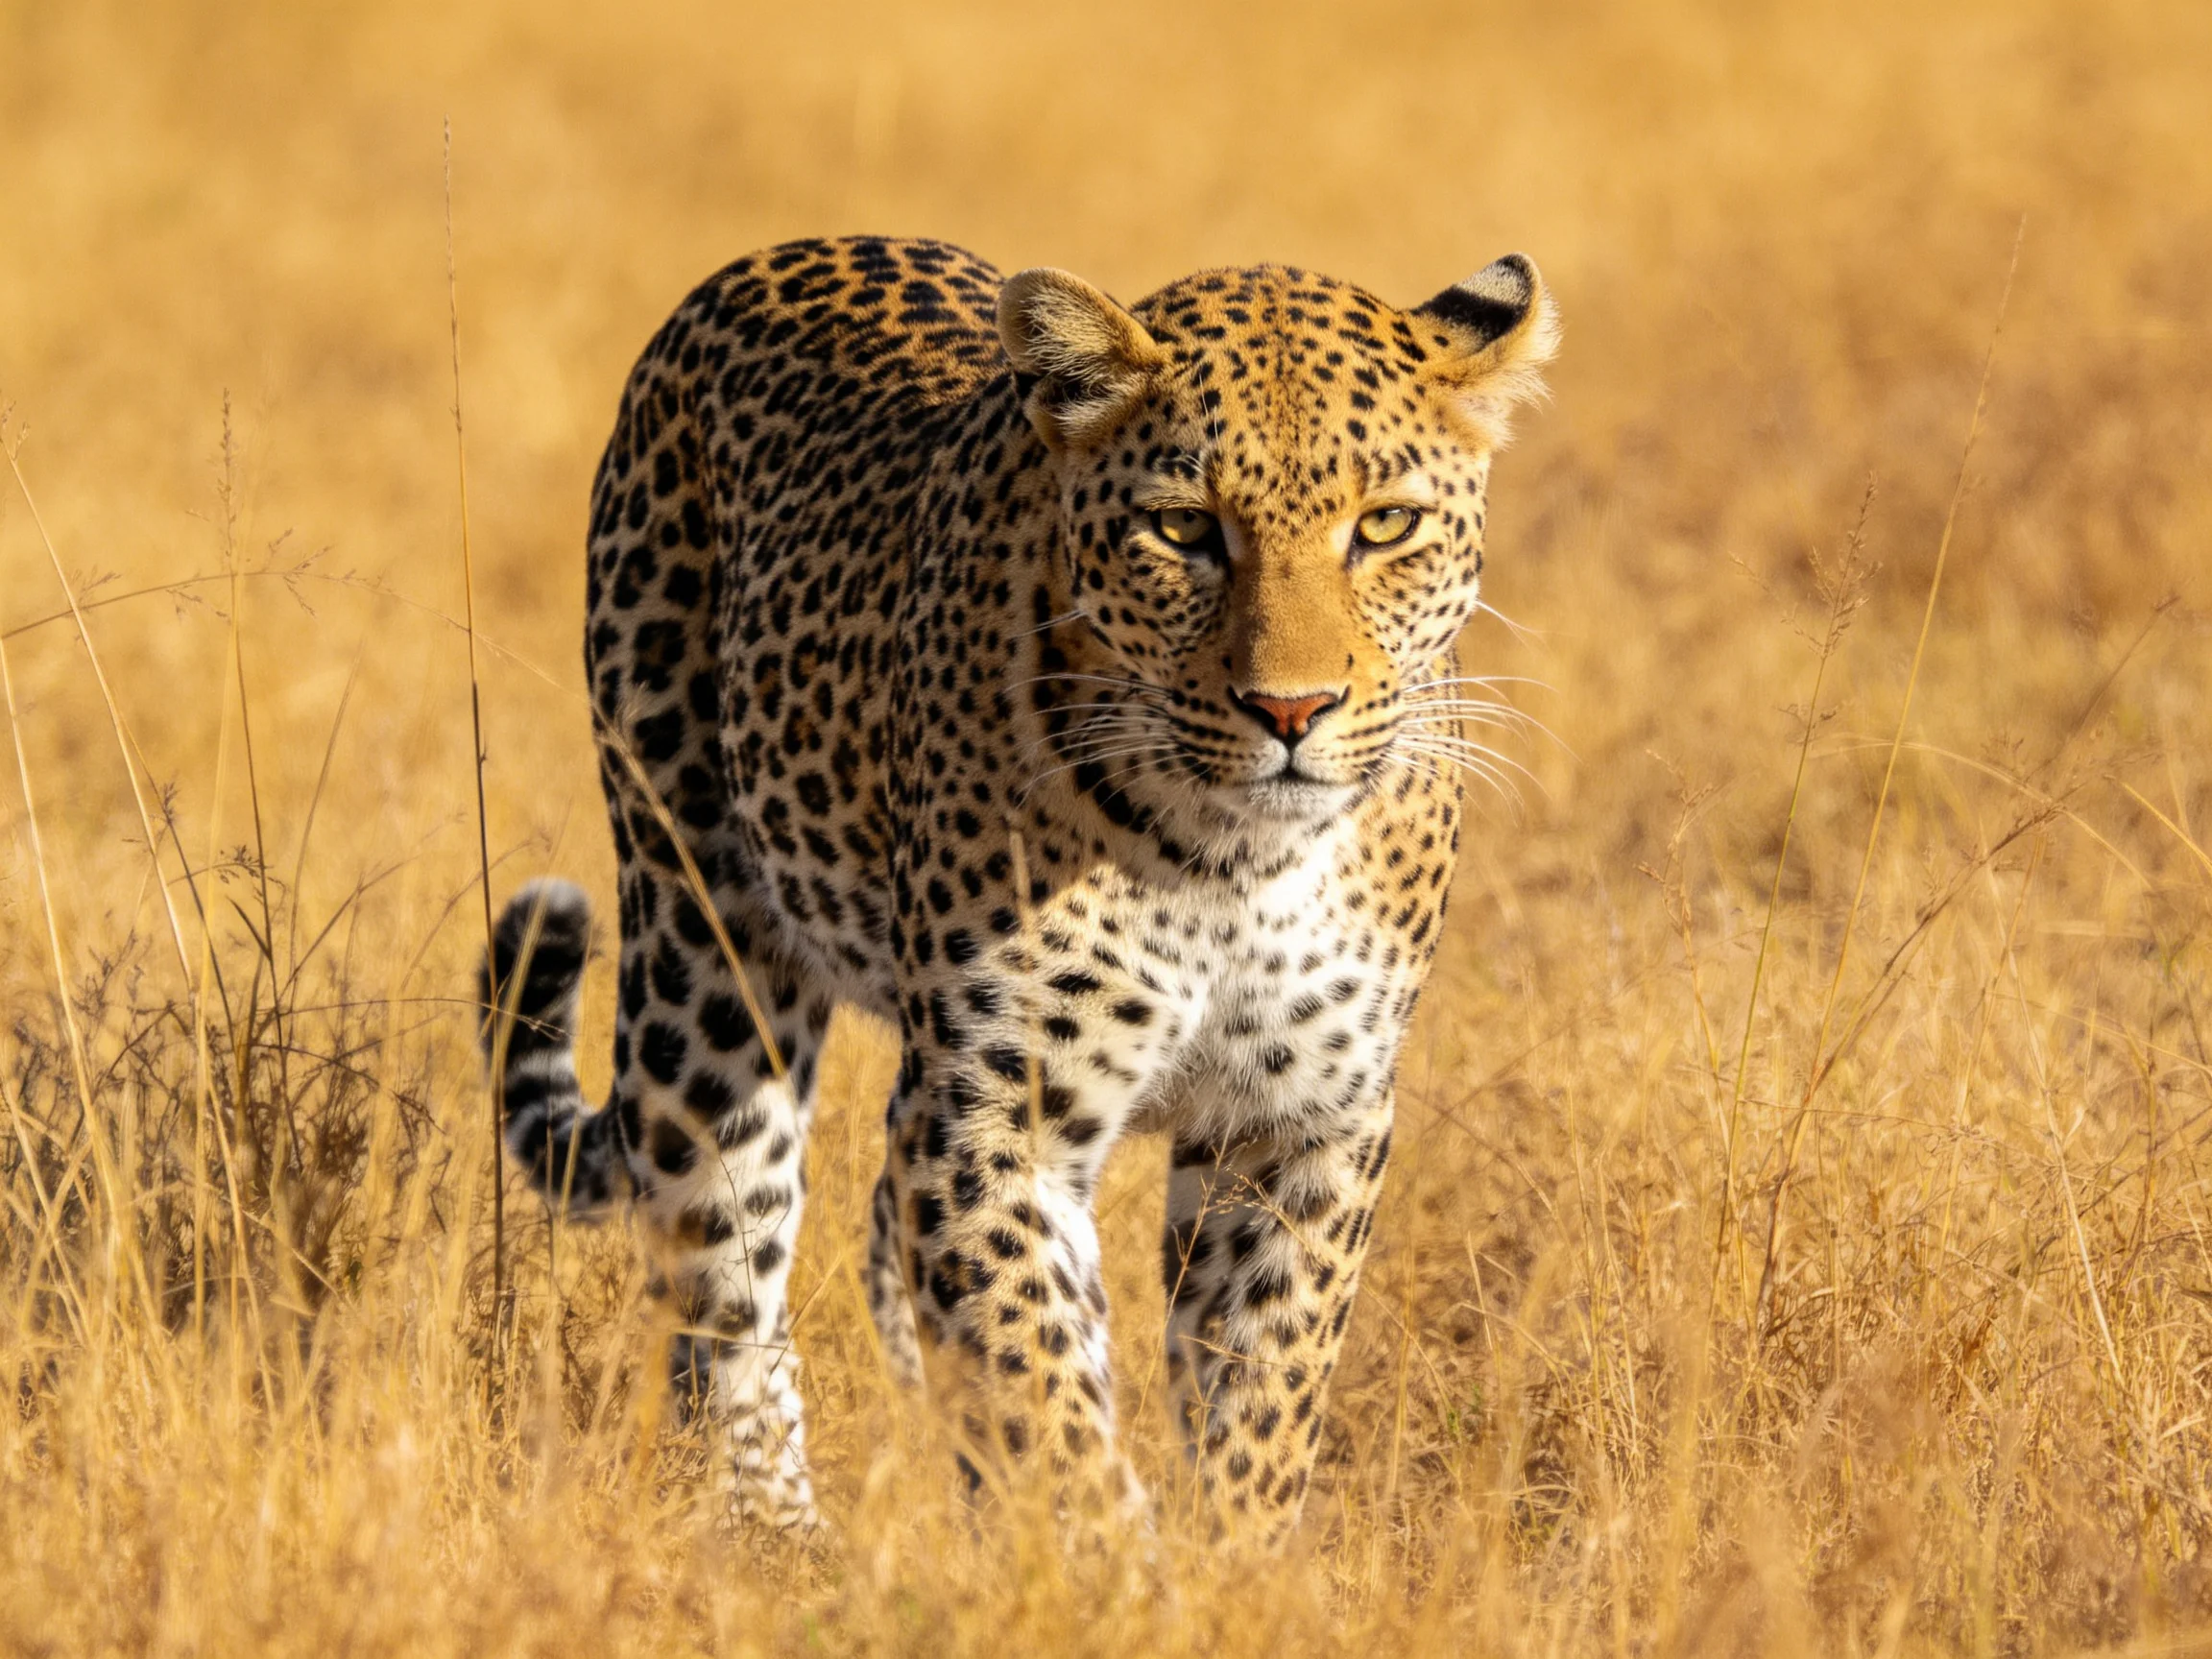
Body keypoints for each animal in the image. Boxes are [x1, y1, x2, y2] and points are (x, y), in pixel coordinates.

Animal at [478, 234, 1557, 1546]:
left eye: (1386, 525)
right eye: (1184, 531)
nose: (1291, 711)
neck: (1238, 860)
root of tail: (766, 260)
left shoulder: (1302, 1121)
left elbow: (1258, 1392)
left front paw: (1234, 1563)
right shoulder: (996, 1114)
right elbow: (1042, 1394)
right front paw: (1106, 1568)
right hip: (700, 950)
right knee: (721, 1276)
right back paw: (776, 1541)